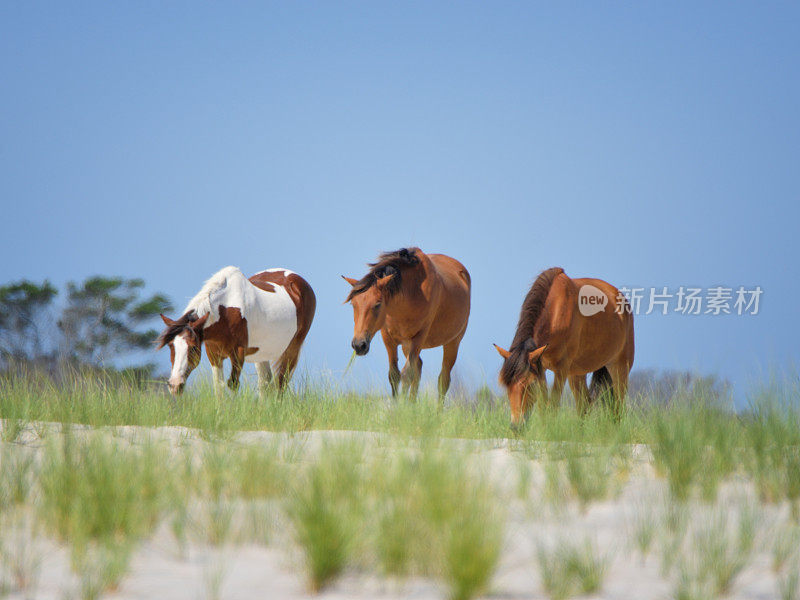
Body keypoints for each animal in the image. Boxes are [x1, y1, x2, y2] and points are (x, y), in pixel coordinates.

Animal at [156, 266, 316, 394]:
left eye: (193, 348)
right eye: (171, 346)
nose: (175, 385)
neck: (226, 311)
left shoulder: (238, 354)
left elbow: (233, 384)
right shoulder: (213, 354)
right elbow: (219, 386)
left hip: (291, 350)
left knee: (281, 383)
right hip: (262, 354)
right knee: (265, 384)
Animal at [342, 246, 468, 400]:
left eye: (378, 304)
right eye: (353, 304)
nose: (359, 345)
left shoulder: (418, 338)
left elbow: (407, 374)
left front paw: (403, 405)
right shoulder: (389, 339)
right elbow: (394, 375)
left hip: (452, 343)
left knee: (443, 380)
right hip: (406, 345)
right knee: (418, 368)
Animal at [490, 268, 636, 426]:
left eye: (531, 384)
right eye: (507, 385)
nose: (516, 426)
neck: (556, 312)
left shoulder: (561, 368)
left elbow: (553, 406)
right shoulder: (541, 367)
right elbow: (543, 407)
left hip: (619, 367)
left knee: (617, 407)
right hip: (577, 373)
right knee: (584, 404)